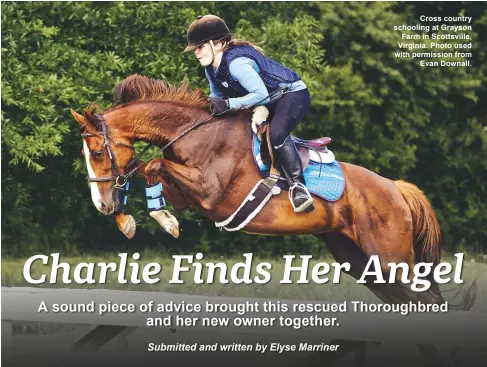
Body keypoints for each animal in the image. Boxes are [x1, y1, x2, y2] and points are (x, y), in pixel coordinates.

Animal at [72, 73, 476, 364]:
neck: (197, 134)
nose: (101, 204)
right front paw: (127, 218)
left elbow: (151, 166)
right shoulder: (188, 195)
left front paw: (156, 219)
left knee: (428, 305)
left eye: (97, 152)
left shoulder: (212, 193)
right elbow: (146, 170)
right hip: (363, 264)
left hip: (393, 260)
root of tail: (396, 188)